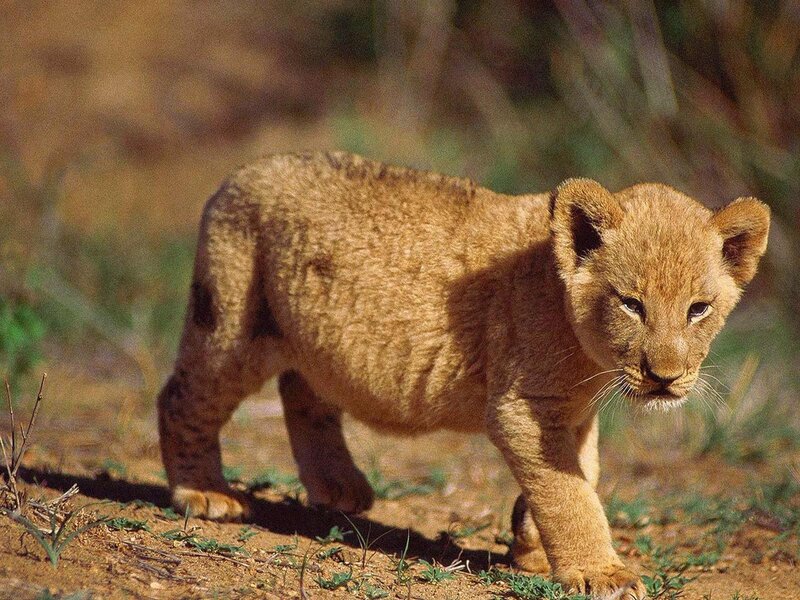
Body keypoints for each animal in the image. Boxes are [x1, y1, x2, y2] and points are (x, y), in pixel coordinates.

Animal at [157, 151, 769, 597]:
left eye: (698, 309)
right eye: (631, 304)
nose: (665, 377)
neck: (590, 362)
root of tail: (244, 170)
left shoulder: (574, 413)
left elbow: (585, 472)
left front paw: (530, 541)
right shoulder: (524, 407)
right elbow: (570, 492)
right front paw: (601, 573)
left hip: (311, 338)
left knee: (301, 388)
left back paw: (338, 486)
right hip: (232, 323)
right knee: (182, 395)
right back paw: (205, 494)